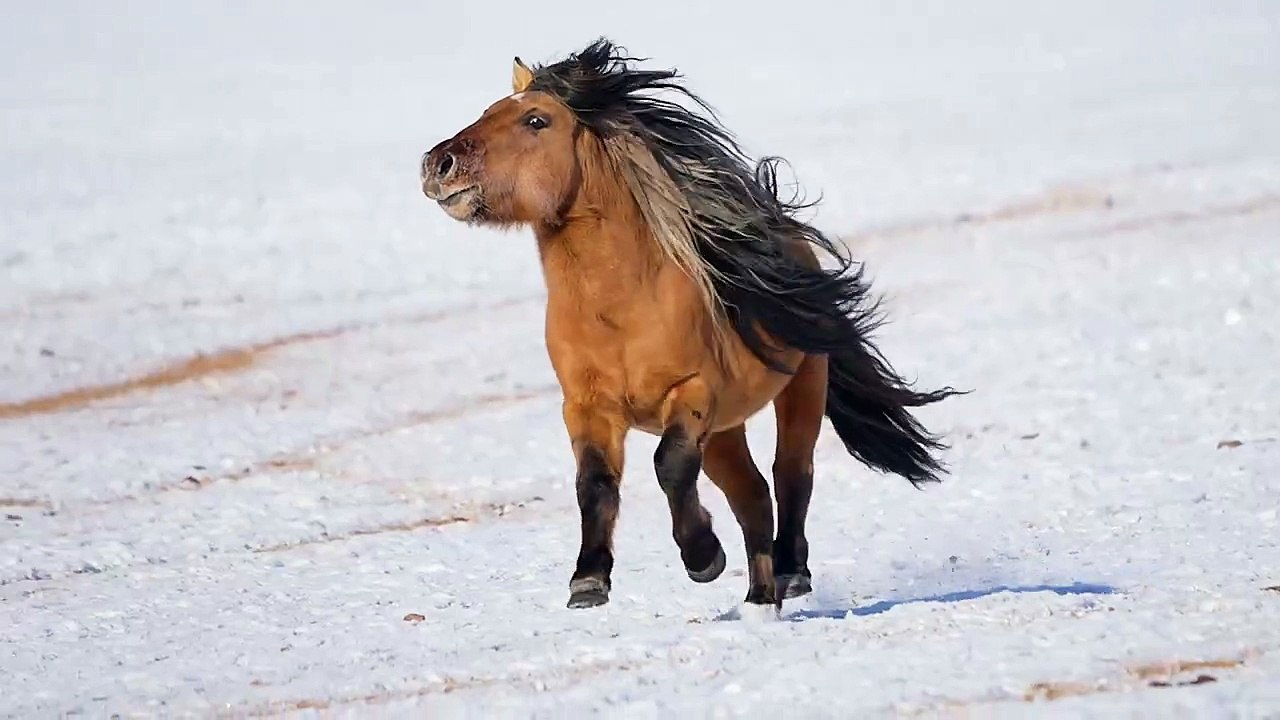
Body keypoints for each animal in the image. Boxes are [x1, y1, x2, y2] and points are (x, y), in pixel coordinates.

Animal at [419, 38, 962, 615]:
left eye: (536, 120)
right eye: (487, 111)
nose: (439, 163)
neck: (619, 313)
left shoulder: (692, 392)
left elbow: (670, 465)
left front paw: (702, 557)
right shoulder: (587, 409)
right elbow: (594, 484)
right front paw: (588, 581)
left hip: (800, 391)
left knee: (790, 475)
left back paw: (791, 574)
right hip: (725, 431)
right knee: (752, 496)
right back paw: (758, 600)